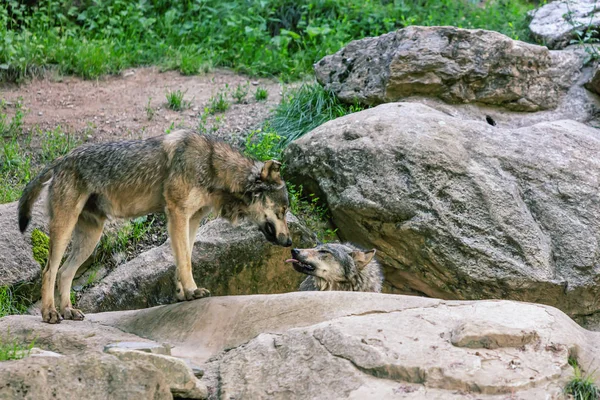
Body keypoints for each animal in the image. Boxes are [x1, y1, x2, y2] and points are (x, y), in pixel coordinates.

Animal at [18, 130, 290, 324]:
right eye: (283, 211)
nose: (288, 242)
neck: (213, 166)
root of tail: (61, 159)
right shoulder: (177, 214)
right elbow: (186, 260)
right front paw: (192, 290)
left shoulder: (192, 219)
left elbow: (184, 257)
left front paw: (184, 294)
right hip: (65, 229)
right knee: (49, 271)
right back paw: (50, 313)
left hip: (91, 237)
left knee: (65, 272)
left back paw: (68, 310)